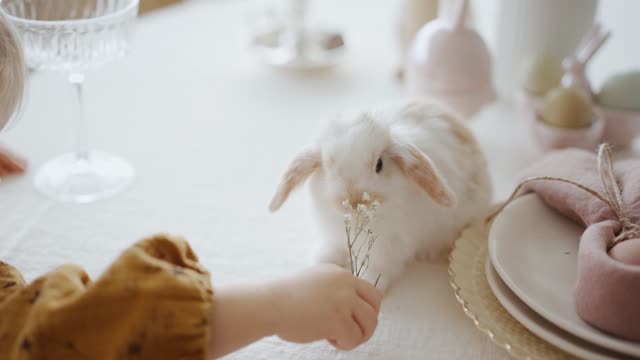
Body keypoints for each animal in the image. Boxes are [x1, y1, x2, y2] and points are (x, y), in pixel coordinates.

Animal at [268, 98, 492, 292]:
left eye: (379, 164)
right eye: (328, 166)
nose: (354, 200)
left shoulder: (389, 247)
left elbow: (377, 269)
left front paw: (367, 283)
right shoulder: (333, 236)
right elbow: (331, 252)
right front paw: (321, 265)